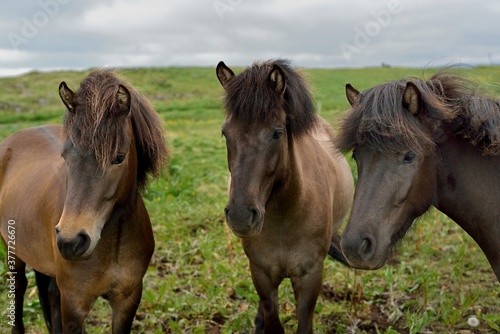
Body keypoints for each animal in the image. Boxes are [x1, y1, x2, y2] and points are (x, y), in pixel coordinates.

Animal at [0, 69, 170, 332]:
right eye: (65, 155)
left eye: (118, 158)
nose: (71, 241)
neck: (111, 242)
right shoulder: (74, 303)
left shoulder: (127, 300)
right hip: (13, 252)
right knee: (18, 289)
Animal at [217, 60, 354, 334]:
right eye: (225, 133)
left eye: (277, 133)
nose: (240, 216)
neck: (286, 215)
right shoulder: (262, 274)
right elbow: (272, 321)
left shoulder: (310, 276)